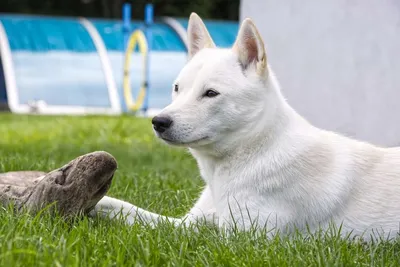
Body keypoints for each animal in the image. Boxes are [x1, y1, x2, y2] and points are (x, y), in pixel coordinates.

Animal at [91, 12, 400, 241]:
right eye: (177, 88)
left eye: (211, 93)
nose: (158, 122)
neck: (252, 152)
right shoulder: (187, 223)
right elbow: (133, 211)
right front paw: (97, 204)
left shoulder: (241, 238)